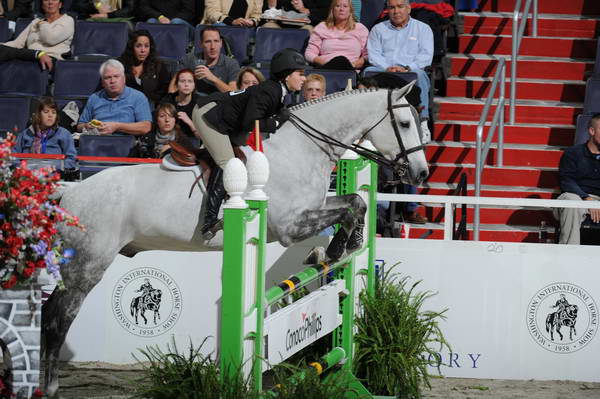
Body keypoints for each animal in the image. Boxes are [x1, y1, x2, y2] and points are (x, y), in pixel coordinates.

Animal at [43, 85, 426, 396]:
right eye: (405, 123)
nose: (421, 174)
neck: (303, 149)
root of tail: (70, 191)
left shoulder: (310, 210)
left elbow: (356, 203)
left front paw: (341, 247)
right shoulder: (289, 226)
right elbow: (345, 211)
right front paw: (332, 250)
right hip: (87, 264)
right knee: (57, 319)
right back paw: (49, 386)